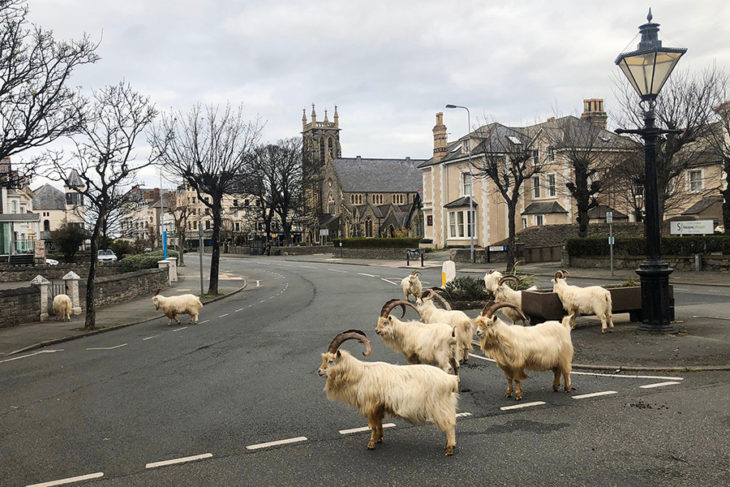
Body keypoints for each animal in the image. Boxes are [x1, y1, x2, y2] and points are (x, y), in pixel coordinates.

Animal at [318, 330, 458, 456]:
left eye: (331, 361)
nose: (319, 371)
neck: (360, 374)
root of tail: (450, 380)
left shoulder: (371, 405)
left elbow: (373, 425)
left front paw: (371, 444)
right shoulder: (379, 406)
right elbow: (379, 423)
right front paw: (379, 438)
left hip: (439, 405)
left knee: (449, 424)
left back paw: (449, 448)